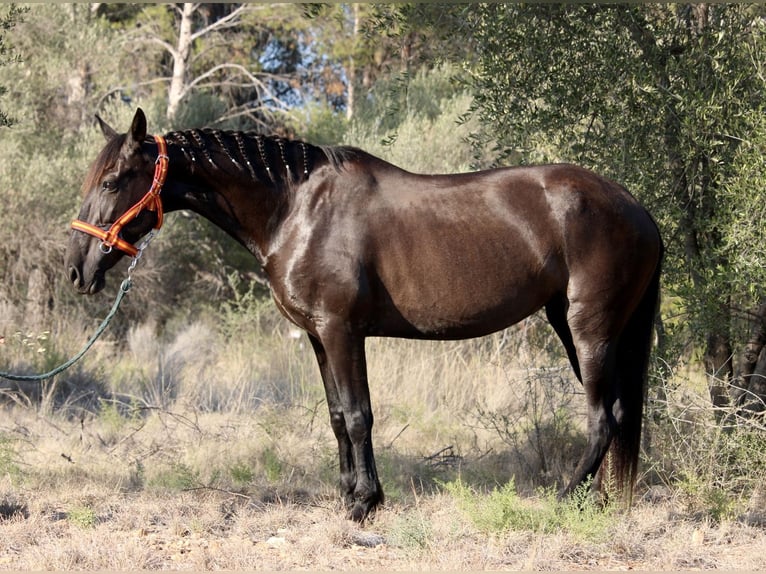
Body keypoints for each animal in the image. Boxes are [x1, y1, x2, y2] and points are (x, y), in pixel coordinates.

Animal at [67, 108, 664, 520]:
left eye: (113, 181)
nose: (77, 270)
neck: (296, 208)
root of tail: (637, 208)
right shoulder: (317, 336)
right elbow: (337, 417)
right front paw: (348, 494)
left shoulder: (342, 331)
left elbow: (359, 415)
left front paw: (365, 503)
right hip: (571, 323)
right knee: (617, 415)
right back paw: (603, 499)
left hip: (590, 329)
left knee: (603, 416)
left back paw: (565, 496)